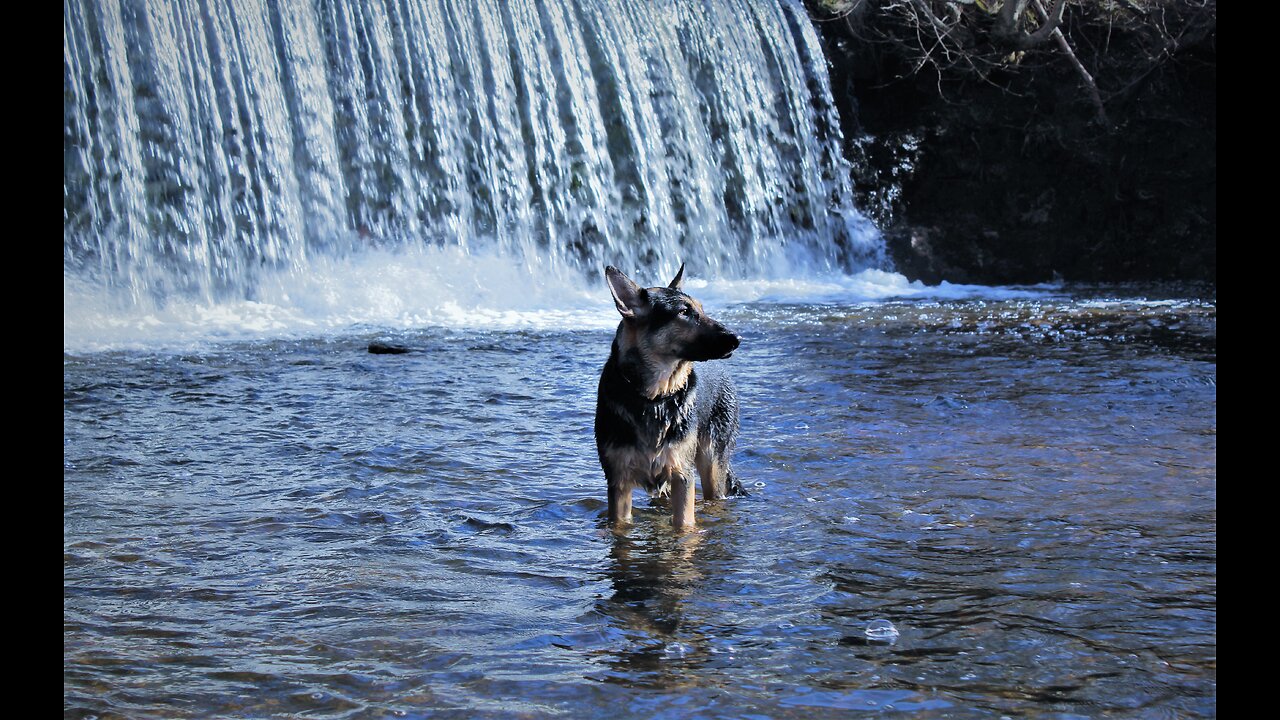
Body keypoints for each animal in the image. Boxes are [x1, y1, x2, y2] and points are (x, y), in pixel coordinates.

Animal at [593, 263, 747, 527]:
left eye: (701, 309)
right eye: (684, 312)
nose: (737, 339)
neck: (655, 397)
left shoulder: (682, 476)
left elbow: (684, 525)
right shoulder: (619, 482)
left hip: (711, 466)